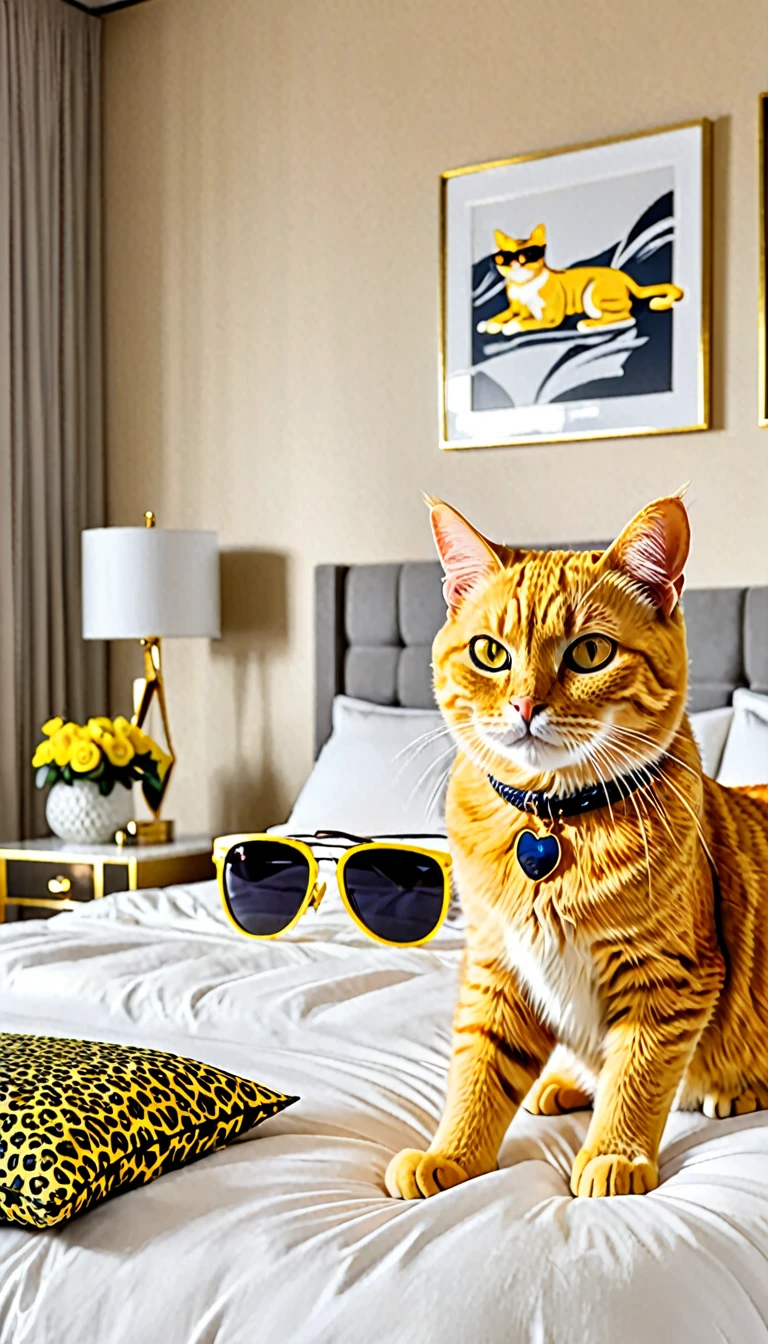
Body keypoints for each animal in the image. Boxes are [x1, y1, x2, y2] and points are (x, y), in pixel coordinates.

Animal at [387, 499, 768, 1204]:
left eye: (590, 652)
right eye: (490, 653)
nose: (525, 704)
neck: (552, 823)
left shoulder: (670, 978)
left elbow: (637, 1077)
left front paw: (614, 1154)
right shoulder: (498, 969)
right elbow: (478, 1073)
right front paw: (451, 1153)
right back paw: (565, 1083)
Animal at [481, 223, 685, 333]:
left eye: (528, 255)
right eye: (505, 257)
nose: (516, 263)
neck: (523, 286)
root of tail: (622, 274)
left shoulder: (548, 318)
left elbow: (522, 322)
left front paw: (508, 326)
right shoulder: (516, 309)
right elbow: (502, 316)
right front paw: (489, 324)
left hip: (592, 295)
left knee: (626, 318)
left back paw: (588, 324)